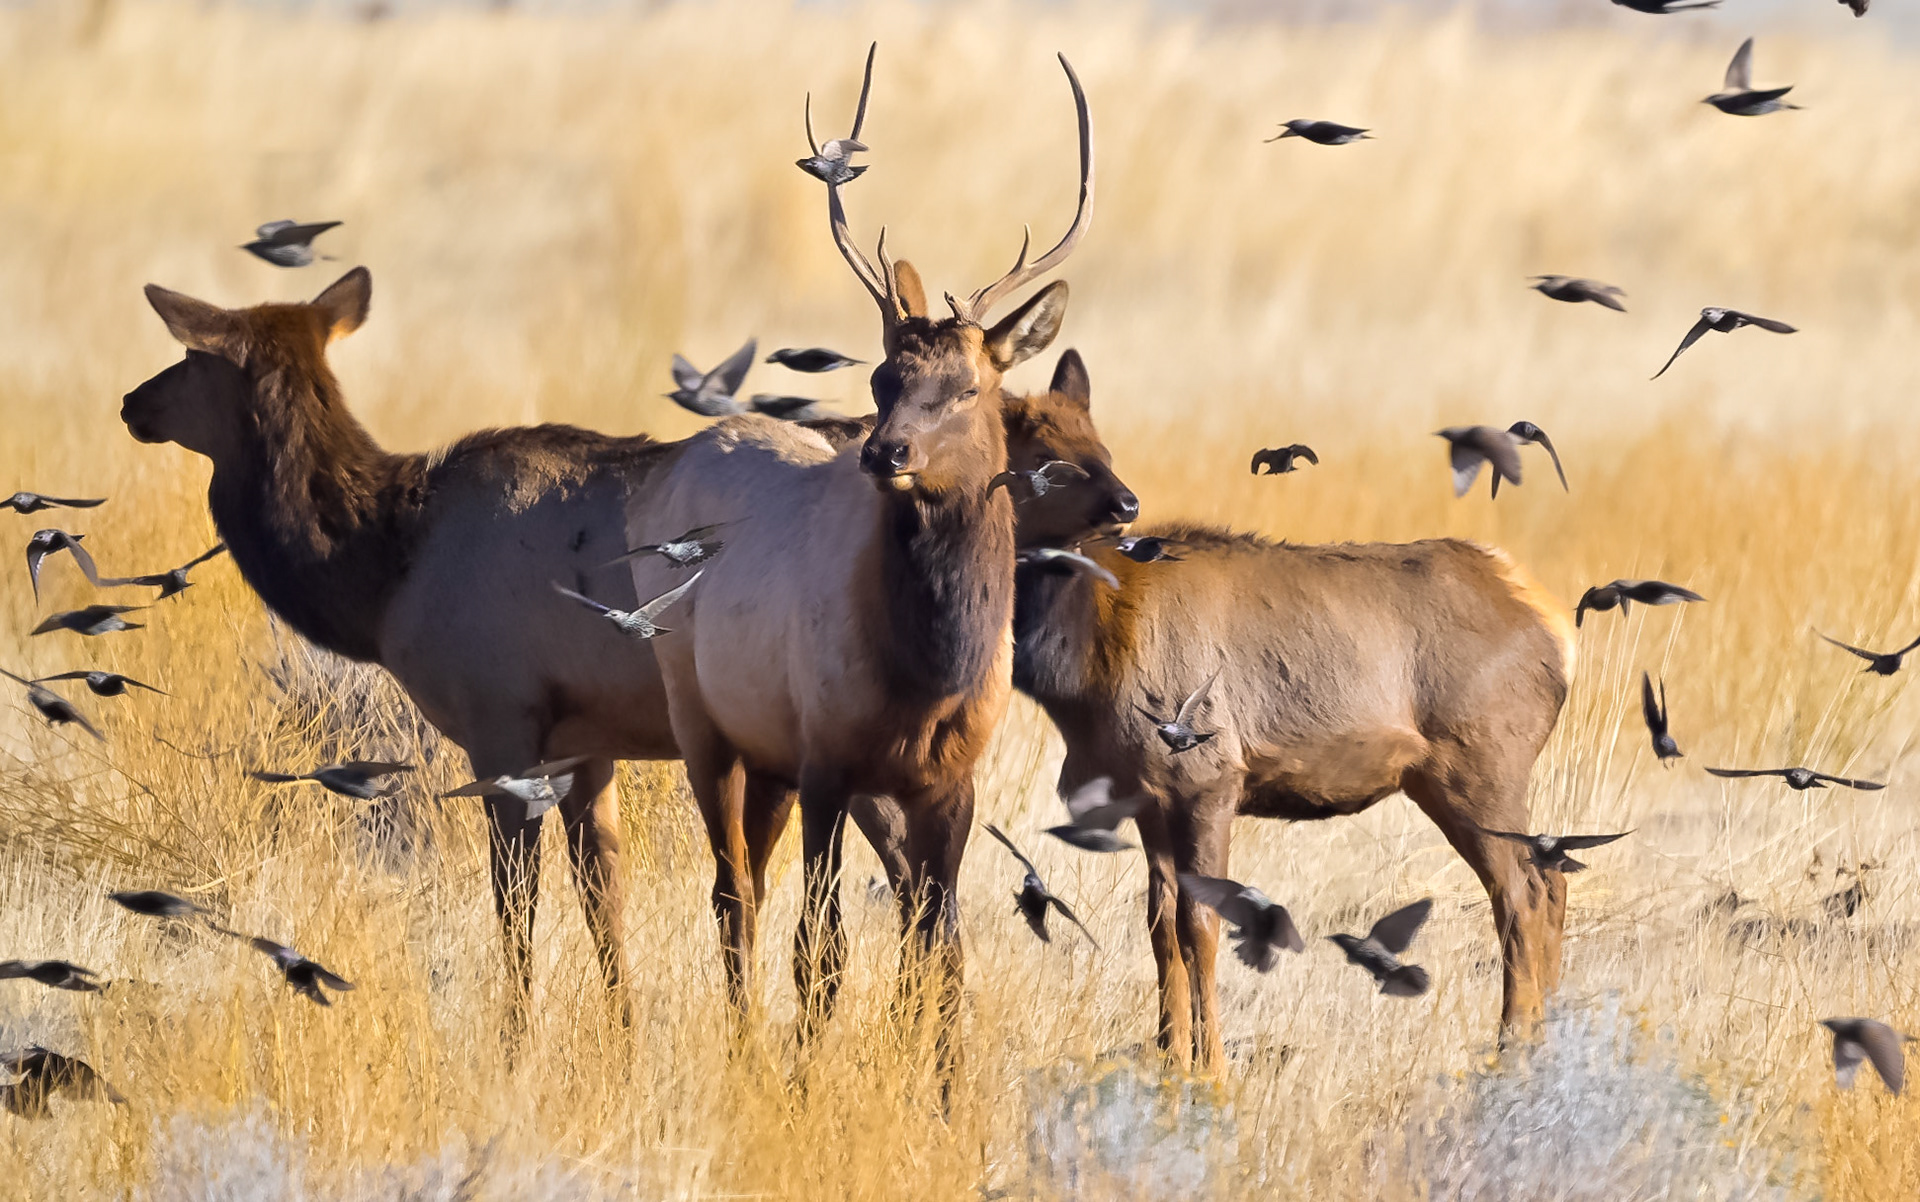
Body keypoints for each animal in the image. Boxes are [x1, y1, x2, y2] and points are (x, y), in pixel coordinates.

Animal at [625, 52, 1101, 1056]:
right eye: (882, 375)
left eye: (968, 388)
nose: (884, 452)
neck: (926, 670)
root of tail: (675, 463)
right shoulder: (825, 758)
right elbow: (824, 951)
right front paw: (805, 1072)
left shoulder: (948, 780)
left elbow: (942, 950)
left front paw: (944, 1079)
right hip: (704, 722)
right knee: (733, 892)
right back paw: (746, 1050)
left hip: (771, 759)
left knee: (759, 890)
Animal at [1000, 525, 1576, 1071]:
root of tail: (1558, 630)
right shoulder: (1149, 804)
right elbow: (1161, 925)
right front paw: (1170, 1061)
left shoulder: (1207, 786)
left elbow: (1199, 923)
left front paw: (1211, 1072)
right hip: (1445, 785)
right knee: (1550, 881)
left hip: (1478, 776)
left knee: (1522, 894)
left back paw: (1513, 1046)